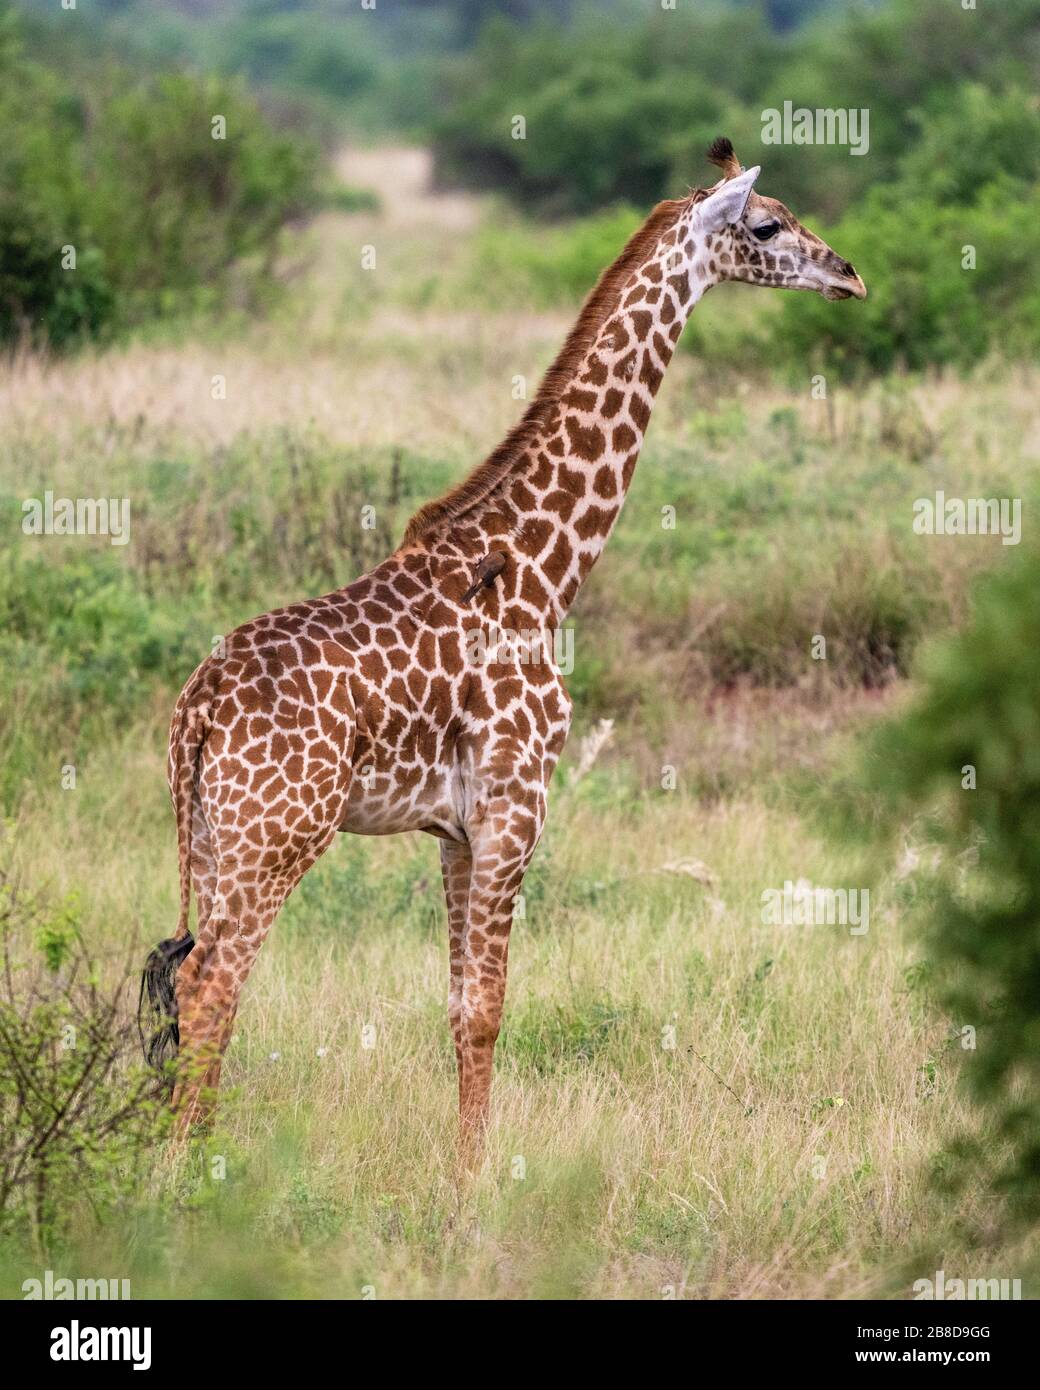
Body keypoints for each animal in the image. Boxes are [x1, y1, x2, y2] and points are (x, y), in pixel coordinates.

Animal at [141, 137, 865, 1149]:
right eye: (765, 224)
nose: (849, 274)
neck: (542, 572)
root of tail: (197, 710)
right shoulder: (517, 807)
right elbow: (487, 1010)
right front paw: (472, 1179)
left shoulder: (453, 829)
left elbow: (455, 1007)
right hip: (277, 834)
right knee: (212, 988)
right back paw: (189, 1172)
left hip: (209, 833)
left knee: (187, 984)